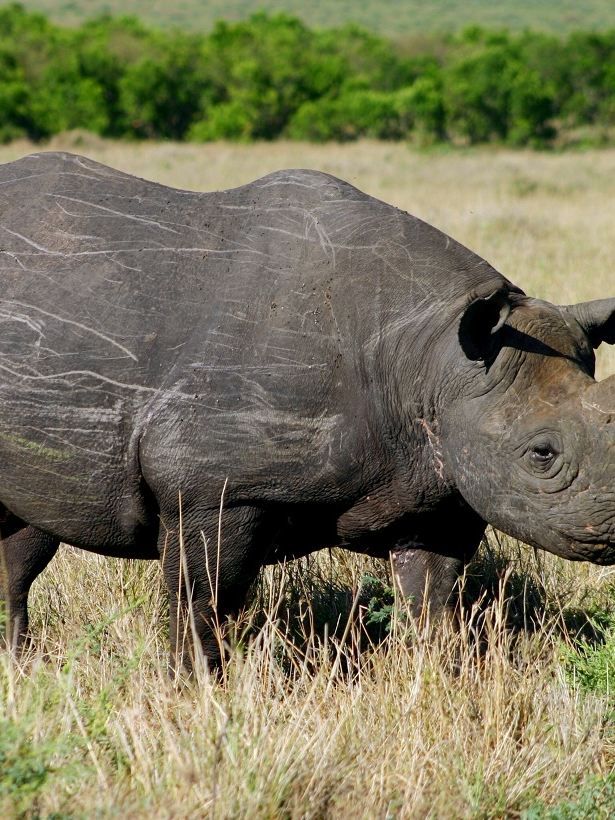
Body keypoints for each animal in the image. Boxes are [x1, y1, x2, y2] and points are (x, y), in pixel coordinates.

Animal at [0, 152, 612, 668]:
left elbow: (435, 602)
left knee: (24, 538)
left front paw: (443, 678)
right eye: (541, 454)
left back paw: (18, 662)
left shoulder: (442, 485)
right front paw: (192, 691)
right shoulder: (209, 486)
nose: (612, 530)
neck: (432, 360)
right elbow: (201, 601)